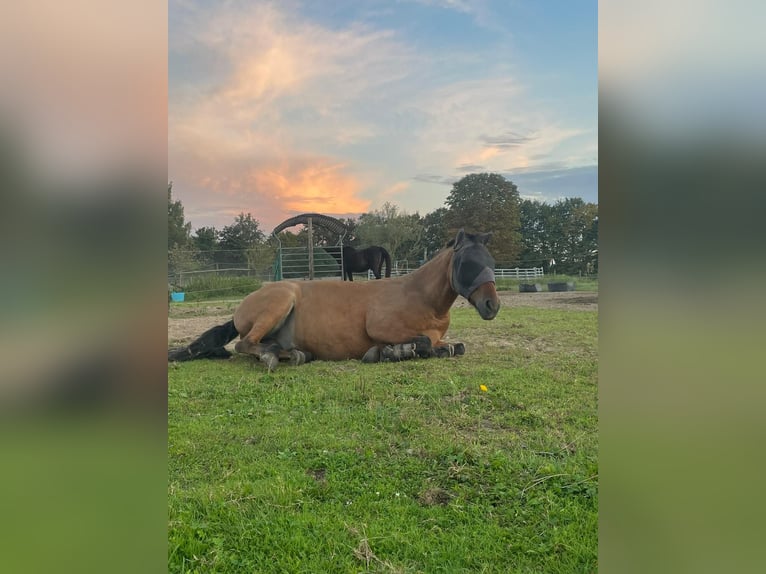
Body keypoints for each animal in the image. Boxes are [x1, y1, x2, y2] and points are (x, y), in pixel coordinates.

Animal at [169, 231, 500, 372]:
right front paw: (390, 352)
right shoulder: (381, 329)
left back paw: (293, 353)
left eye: (490, 261)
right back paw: (278, 356)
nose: (492, 306)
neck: (421, 298)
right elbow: (424, 343)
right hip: (280, 302)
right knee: (245, 344)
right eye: (468, 263)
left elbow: (453, 347)